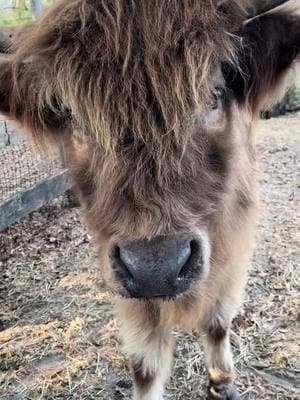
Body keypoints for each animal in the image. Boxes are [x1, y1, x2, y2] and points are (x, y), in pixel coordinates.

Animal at [0, 0, 300, 400]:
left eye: (213, 97)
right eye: (75, 119)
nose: (156, 268)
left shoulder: (232, 250)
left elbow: (218, 322)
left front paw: (222, 380)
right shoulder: (129, 288)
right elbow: (146, 365)